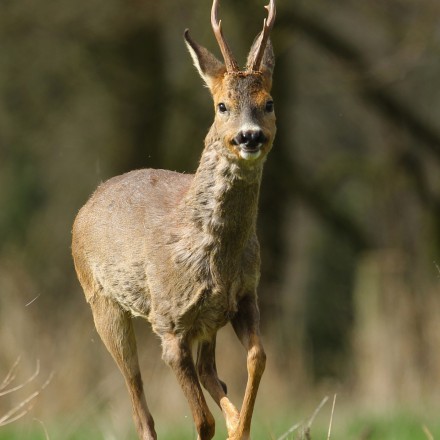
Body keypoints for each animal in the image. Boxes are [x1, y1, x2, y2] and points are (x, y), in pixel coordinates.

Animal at [74, 1, 276, 438]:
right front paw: (226, 425)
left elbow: (257, 358)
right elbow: (201, 420)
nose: (250, 136)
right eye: (222, 106)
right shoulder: (169, 321)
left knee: (211, 372)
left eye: (268, 102)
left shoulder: (243, 296)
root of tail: (90, 200)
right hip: (102, 302)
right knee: (139, 401)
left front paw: (241, 429)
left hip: (208, 322)